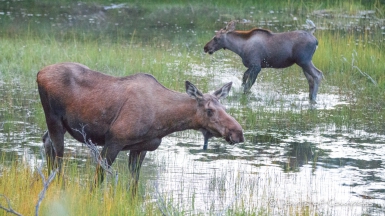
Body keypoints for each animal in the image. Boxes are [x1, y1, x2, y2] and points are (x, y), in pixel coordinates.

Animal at [36, 62, 243, 186]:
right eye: (209, 110)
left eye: (224, 106)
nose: (238, 133)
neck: (164, 122)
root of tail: (39, 73)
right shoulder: (114, 140)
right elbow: (97, 180)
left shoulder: (140, 148)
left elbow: (134, 185)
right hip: (53, 119)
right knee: (58, 156)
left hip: (58, 124)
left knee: (46, 142)